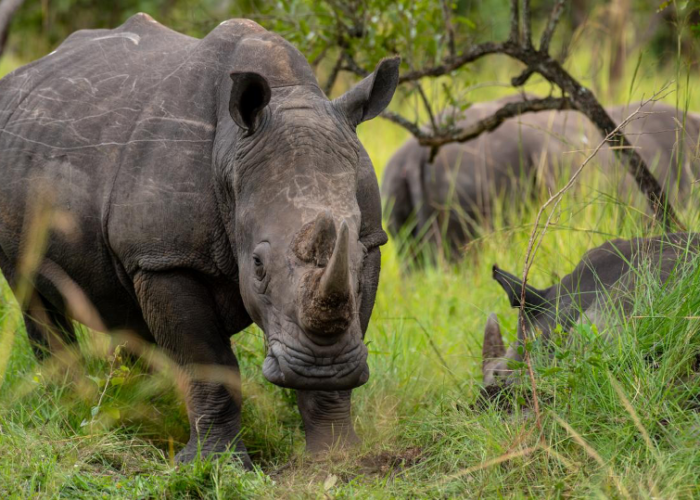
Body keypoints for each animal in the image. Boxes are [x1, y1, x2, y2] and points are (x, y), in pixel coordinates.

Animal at [0, 12, 400, 464]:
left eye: (356, 257)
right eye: (257, 266)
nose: (319, 367)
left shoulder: (371, 239)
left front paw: (337, 457)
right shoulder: (165, 257)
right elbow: (209, 361)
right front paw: (215, 464)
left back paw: (129, 400)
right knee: (32, 291)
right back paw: (68, 402)